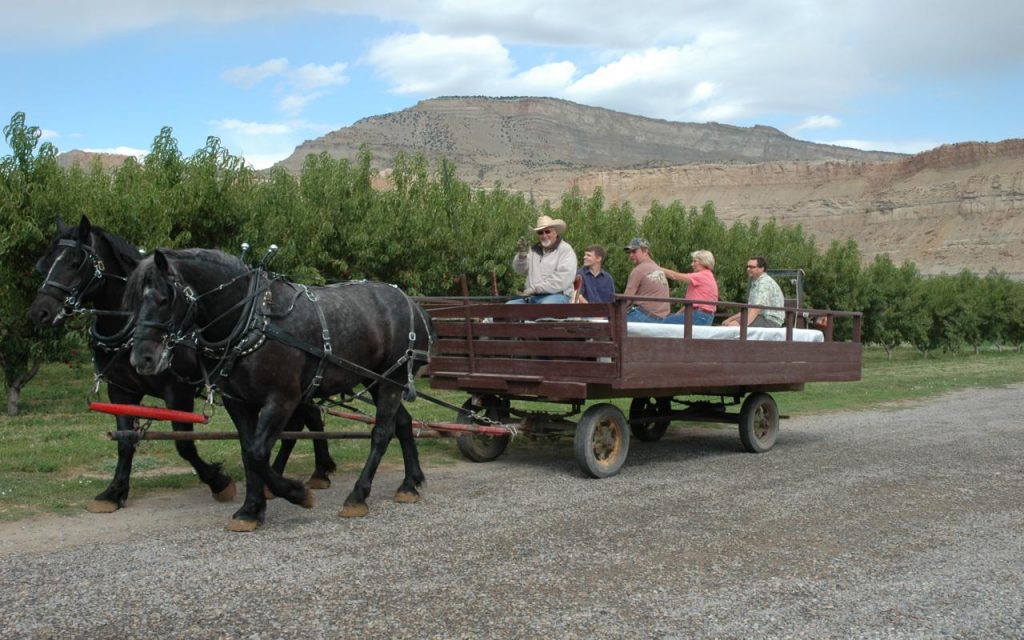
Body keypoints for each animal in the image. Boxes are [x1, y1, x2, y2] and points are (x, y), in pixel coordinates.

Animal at [124, 245, 436, 528]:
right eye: (133, 302)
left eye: (165, 299)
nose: (142, 358)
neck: (253, 320)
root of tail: (415, 305)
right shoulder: (238, 402)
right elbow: (248, 452)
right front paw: (251, 510)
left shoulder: (282, 399)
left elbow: (258, 453)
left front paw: (296, 493)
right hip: (375, 379)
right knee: (403, 423)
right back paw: (410, 483)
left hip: (393, 379)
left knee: (382, 432)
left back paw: (358, 496)